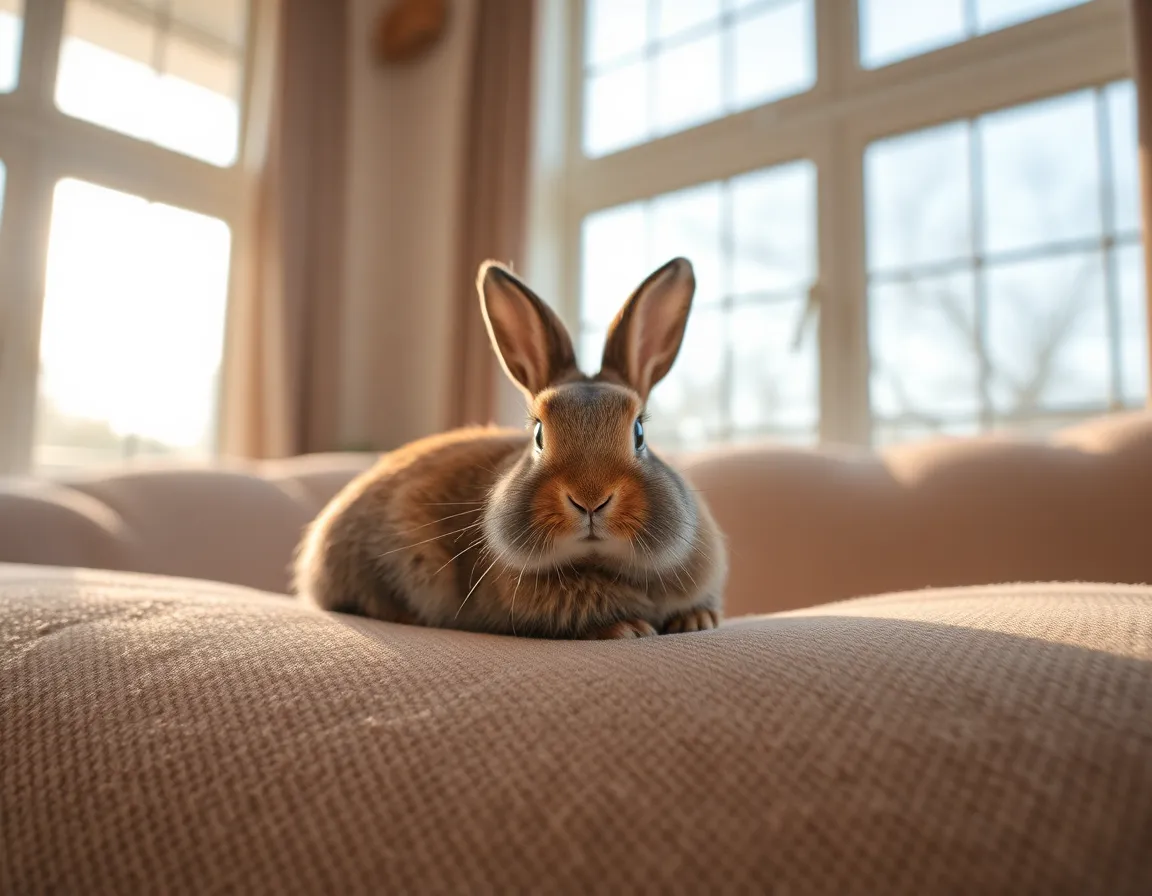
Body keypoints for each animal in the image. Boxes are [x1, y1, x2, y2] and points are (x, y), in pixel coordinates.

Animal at [292, 257, 727, 639]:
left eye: (639, 433)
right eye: (538, 435)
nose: (590, 499)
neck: (599, 561)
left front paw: (697, 620)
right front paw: (627, 628)